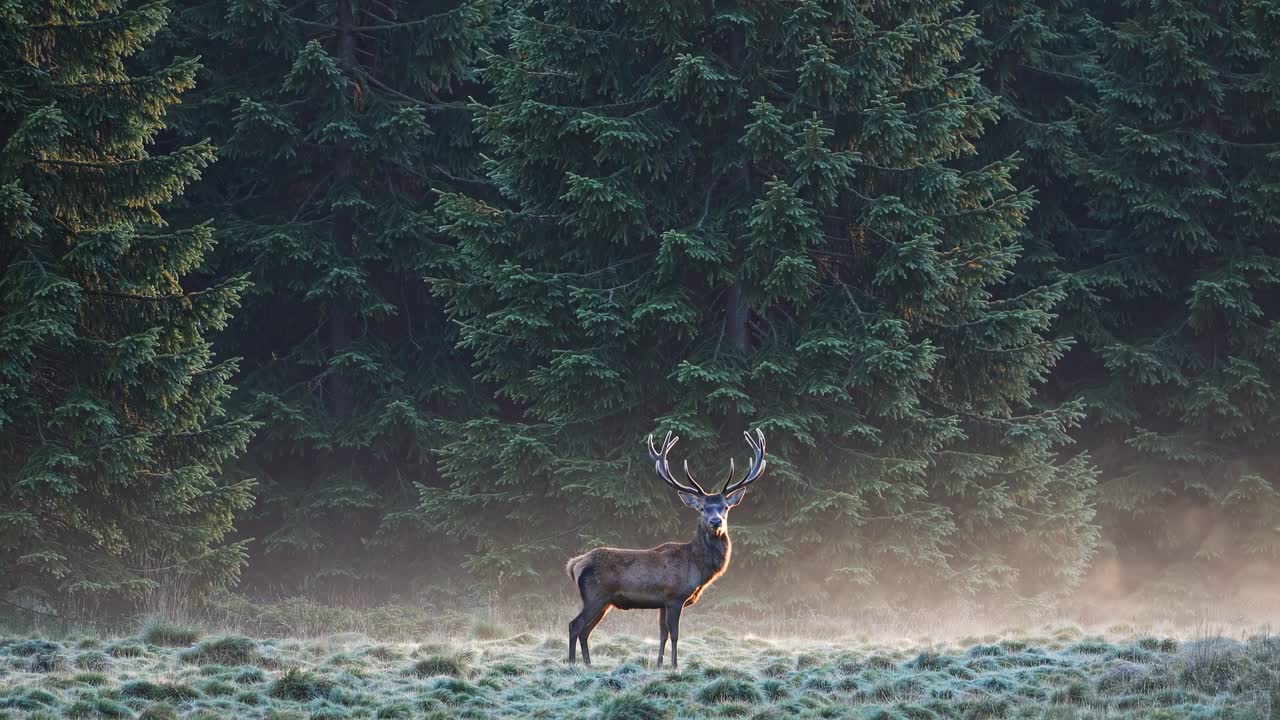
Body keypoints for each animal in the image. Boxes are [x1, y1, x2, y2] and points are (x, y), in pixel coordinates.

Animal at [565, 429, 766, 668]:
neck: (696, 566)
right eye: (702, 508)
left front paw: (660, 663)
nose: (716, 522)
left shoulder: (662, 602)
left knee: (585, 631)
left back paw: (588, 663)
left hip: (604, 602)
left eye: (725, 507)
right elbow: (675, 634)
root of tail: (575, 564)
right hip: (595, 595)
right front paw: (675, 665)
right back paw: (571, 663)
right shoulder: (674, 596)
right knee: (575, 625)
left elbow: (662, 634)